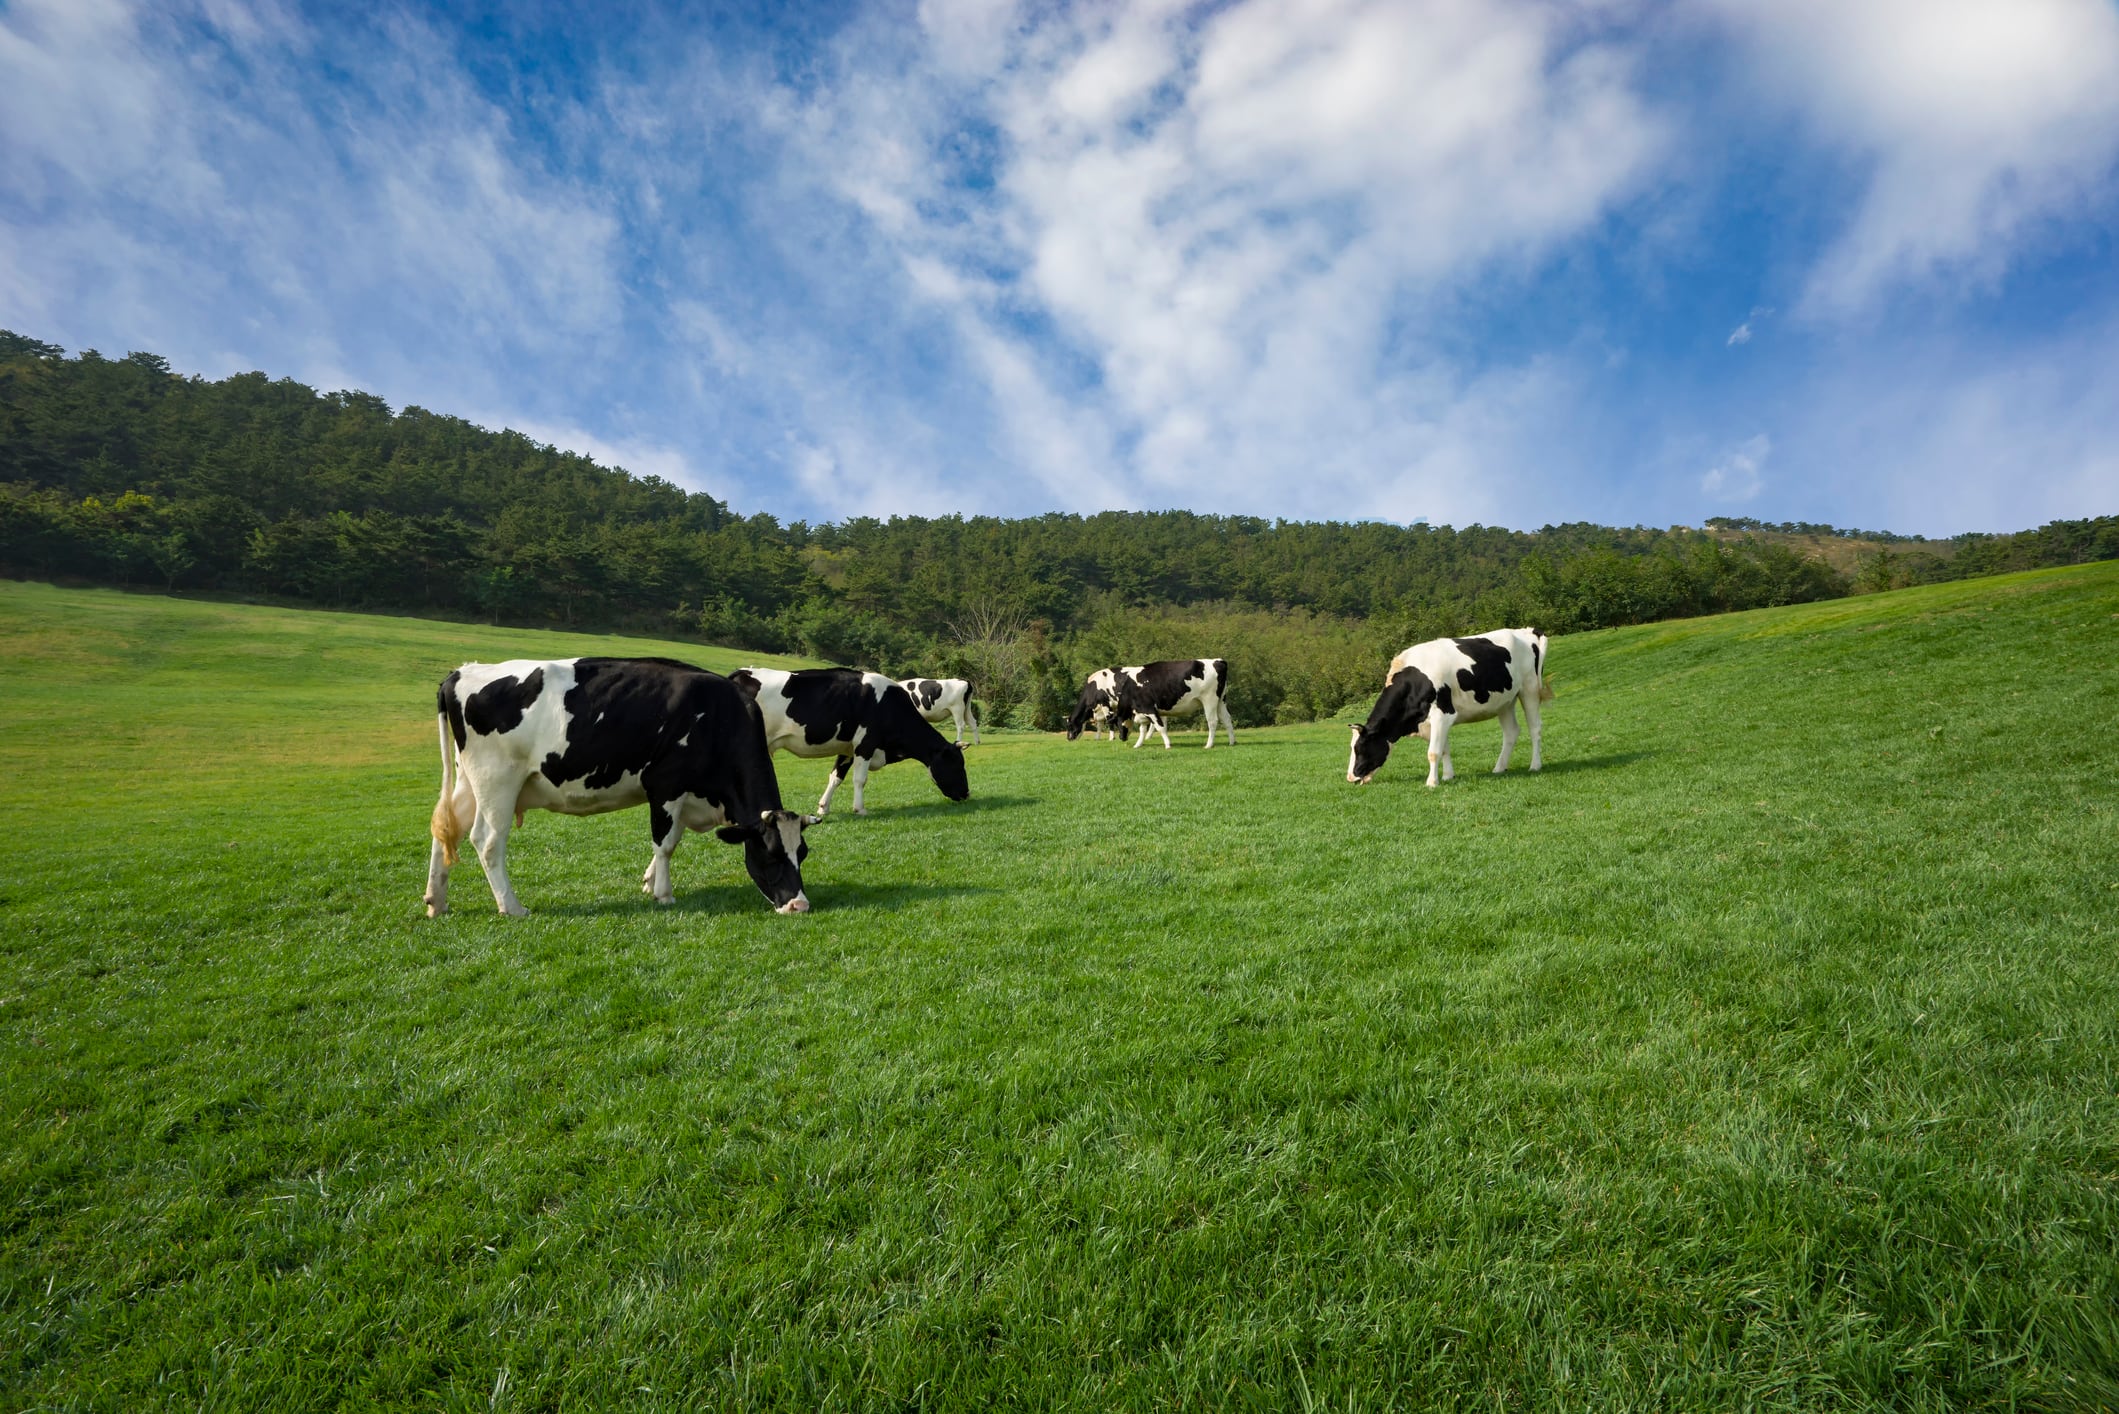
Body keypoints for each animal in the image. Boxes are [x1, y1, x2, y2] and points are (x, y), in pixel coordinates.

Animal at [421, 661, 809, 924]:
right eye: (770, 854)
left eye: (802, 853)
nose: (800, 904)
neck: (717, 717)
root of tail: (461, 672)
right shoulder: (665, 785)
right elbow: (665, 842)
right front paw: (663, 894)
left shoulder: (685, 796)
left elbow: (672, 837)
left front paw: (649, 881)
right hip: (498, 782)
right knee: (487, 842)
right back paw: (511, 906)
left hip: (469, 783)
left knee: (445, 833)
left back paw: (436, 901)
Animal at [724, 665, 966, 818]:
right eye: (956, 764)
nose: (966, 793)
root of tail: (742, 672)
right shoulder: (866, 744)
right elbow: (860, 779)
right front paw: (860, 809)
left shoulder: (848, 748)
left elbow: (835, 777)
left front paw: (823, 808)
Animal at [1067, 661, 1237, 750]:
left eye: (1071, 726)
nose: (1069, 738)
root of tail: (1218, 661)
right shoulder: (1141, 711)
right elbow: (1141, 728)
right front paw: (1138, 744)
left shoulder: (1144, 707)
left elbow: (1159, 726)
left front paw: (1167, 745)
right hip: (1221, 701)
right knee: (1227, 720)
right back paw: (1232, 742)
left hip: (1209, 700)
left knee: (1213, 722)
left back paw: (1208, 744)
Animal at [1347, 627, 1551, 792]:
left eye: (1360, 748)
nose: (1351, 777)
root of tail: (1526, 631)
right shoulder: (1435, 721)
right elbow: (1443, 749)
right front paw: (1447, 776)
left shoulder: (1443, 714)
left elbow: (1433, 752)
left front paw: (1431, 782)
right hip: (1505, 701)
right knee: (1511, 732)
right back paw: (1499, 768)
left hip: (1529, 689)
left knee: (1535, 728)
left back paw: (1535, 765)